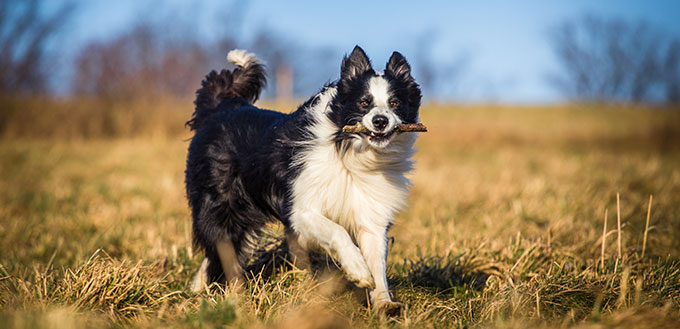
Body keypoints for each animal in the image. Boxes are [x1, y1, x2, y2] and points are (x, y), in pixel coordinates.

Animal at [185, 44, 420, 312]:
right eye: (364, 102)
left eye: (395, 103)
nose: (380, 121)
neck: (349, 151)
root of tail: (222, 107)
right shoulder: (300, 210)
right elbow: (338, 231)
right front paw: (358, 271)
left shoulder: (371, 215)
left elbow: (377, 262)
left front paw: (384, 303)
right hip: (221, 203)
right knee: (220, 245)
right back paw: (227, 293)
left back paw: (200, 289)